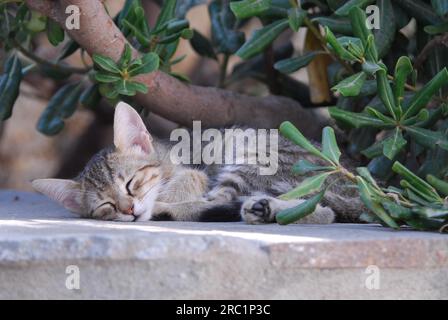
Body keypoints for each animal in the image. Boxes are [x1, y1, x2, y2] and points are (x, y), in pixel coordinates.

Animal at [31, 101, 362, 224]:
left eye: (131, 183)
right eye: (105, 206)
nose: (129, 210)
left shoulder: (198, 173)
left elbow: (190, 179)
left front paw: (162, 201)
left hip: (253, 153)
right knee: (324, 211)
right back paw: (266, 209)